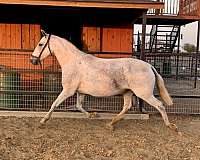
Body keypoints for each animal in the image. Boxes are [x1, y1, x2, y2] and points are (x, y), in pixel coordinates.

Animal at [30, 29, 178, 131]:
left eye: (40, 44)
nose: (32, 60)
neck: (73, 61)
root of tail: (149, 66)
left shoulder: (68, 90)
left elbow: (54, 104)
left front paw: (43, 121)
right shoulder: (80, 92)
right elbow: (78, 106)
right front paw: (93, 115)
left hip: (144, 94)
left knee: (159, 105)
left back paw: (171, 126)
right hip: (128, 92)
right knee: (126, 107)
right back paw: (111, 123)